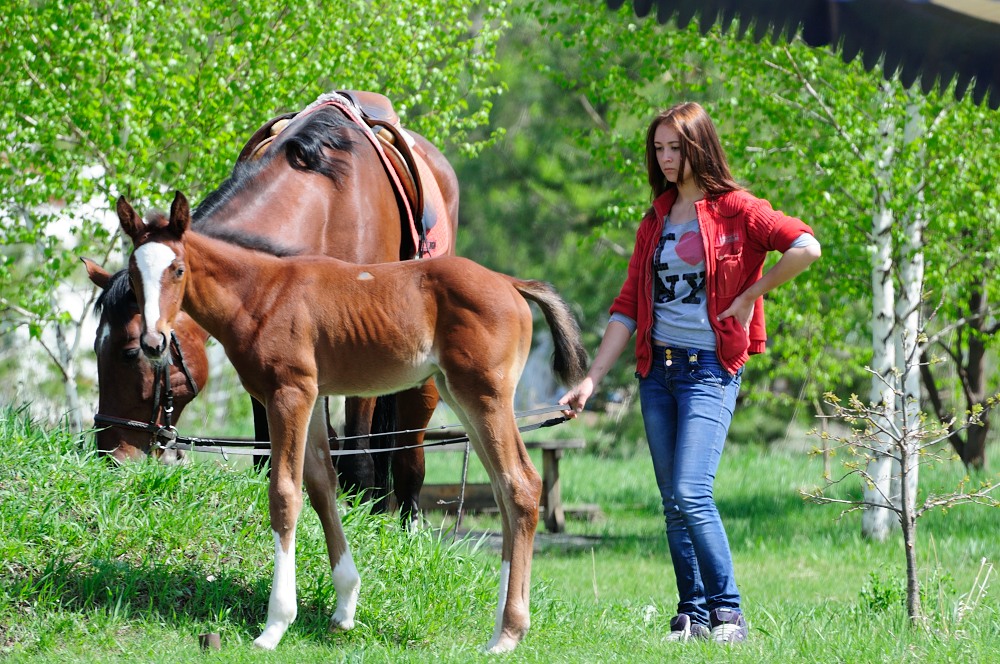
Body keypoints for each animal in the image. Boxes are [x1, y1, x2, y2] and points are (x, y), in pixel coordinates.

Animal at [117, 191, 584, 648]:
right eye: (135, 274)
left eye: (178, 269)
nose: (154, 342)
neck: (259, 293)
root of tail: (510, 283)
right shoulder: (312, 397)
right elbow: (322, 486)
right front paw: (344, 605)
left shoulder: (289, 394)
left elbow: (284, 494)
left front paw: (275, 625)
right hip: (462, 397)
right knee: (505, 491)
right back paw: (499, 627)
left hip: (484, 396)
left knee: (521, 486)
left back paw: (508, 633)